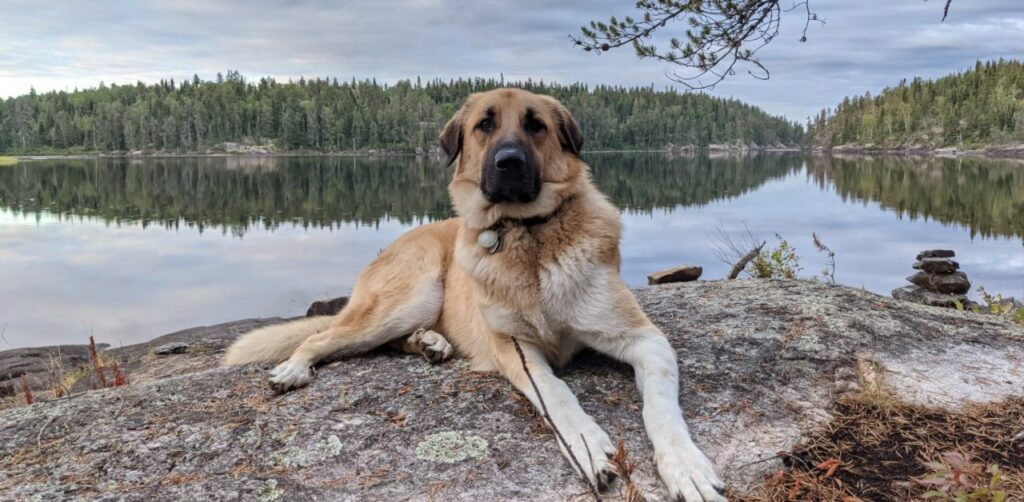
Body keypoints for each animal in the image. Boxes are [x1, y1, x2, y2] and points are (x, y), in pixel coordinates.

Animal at [227, 88, 729, 499]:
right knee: (322, 336)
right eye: (484, 125)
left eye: (535, 124)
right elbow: (557, 393)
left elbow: (661, 408)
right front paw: (586, 444)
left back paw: (429, 343)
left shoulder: (645, 340)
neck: (528, 235)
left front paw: (685, 466)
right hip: (409, 295)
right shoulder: (514, 348)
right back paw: (295, 368)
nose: (509, 162)